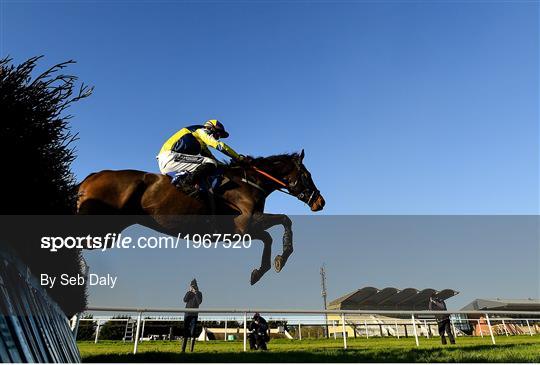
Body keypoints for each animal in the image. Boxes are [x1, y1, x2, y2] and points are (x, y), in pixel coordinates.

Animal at [76, 149, 324, 282]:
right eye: (307, 174)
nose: (320, 202)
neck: (248, 182)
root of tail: (92, 176)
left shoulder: (241, 230)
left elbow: (271, 235)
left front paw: (262, 270)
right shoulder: (243, 226)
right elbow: (282, 222)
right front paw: (279, 259)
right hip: (99, 229)